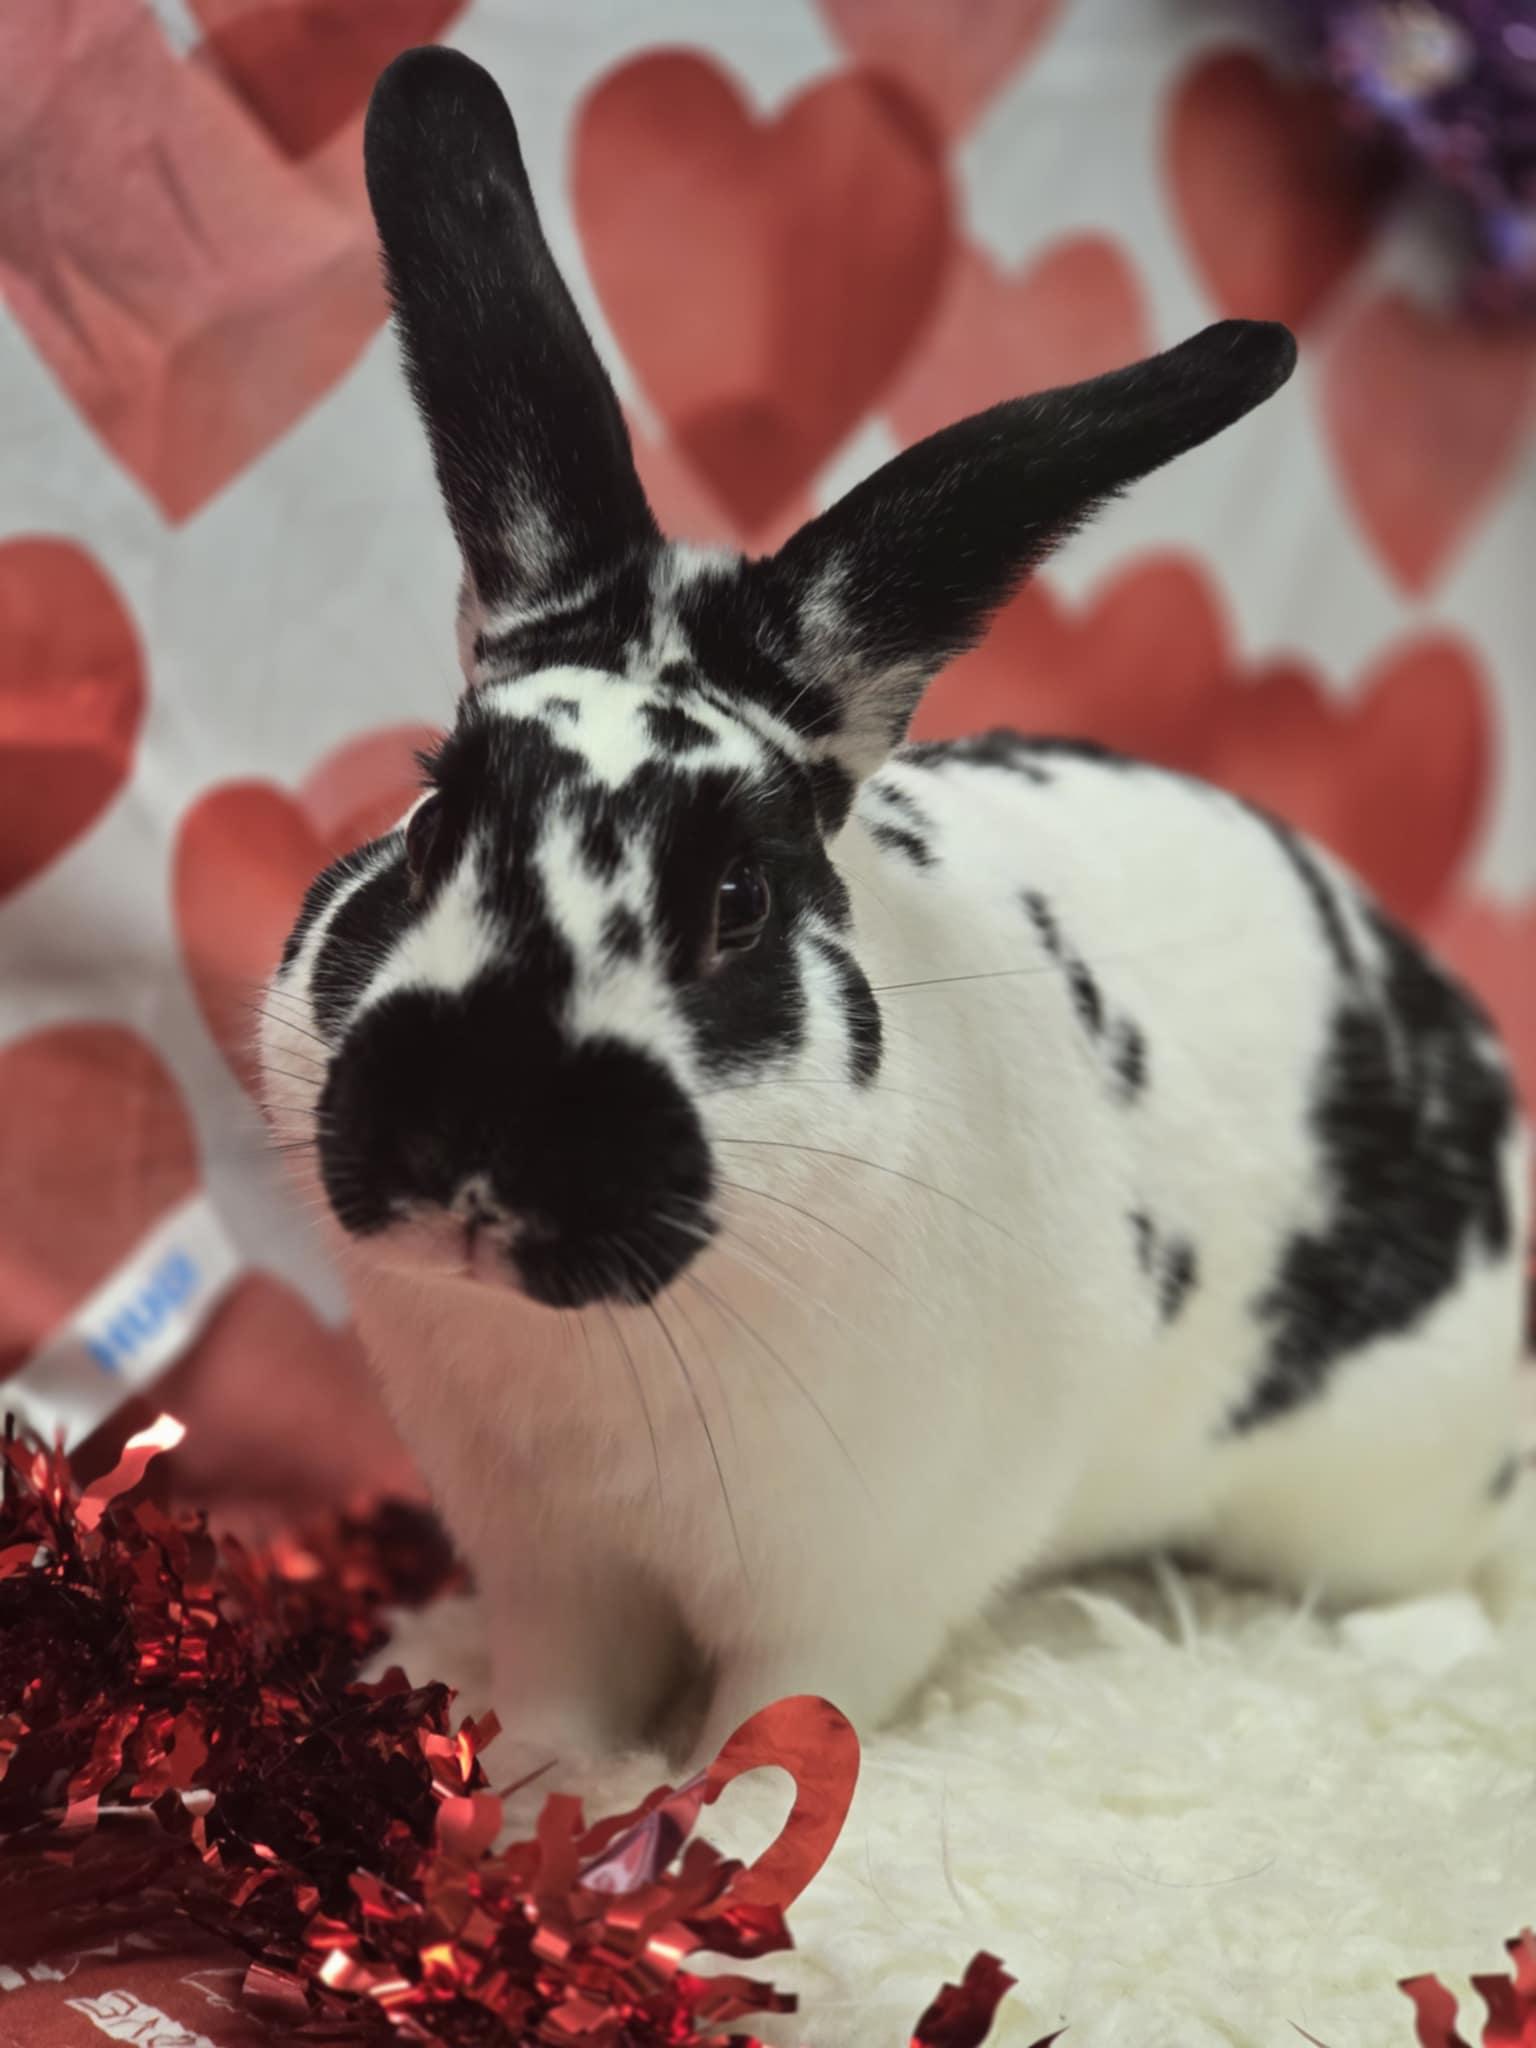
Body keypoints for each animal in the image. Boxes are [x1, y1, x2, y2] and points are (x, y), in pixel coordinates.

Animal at [261, 46, 1530, 1792]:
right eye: (438, 816)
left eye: (739, 902)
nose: (478, 1149)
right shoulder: (555, 1565)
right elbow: (562, 1707)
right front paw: (532, 1804)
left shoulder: (857, 1584)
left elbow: (780, 1727)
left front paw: (706, 1832)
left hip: (1384, 1481)